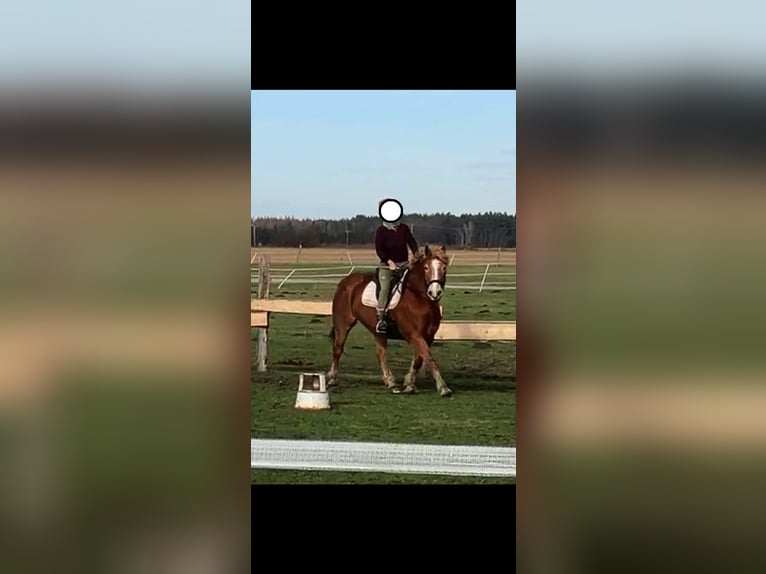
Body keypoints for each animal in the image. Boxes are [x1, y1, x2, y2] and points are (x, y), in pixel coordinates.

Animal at [327, 244, 452, 396]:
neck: (419, 298)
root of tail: (345, 282)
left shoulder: (428, 336)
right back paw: (332, 378)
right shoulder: (414, 335)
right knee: (338, 349)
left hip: (378, 332)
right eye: (426, 268)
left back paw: (390, 382)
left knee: (380, 354)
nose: (435, 293)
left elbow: (419, 360)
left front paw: (409, 384)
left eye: (444, 268)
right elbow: (429, 359)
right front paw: (443, 388)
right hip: (343, 324)